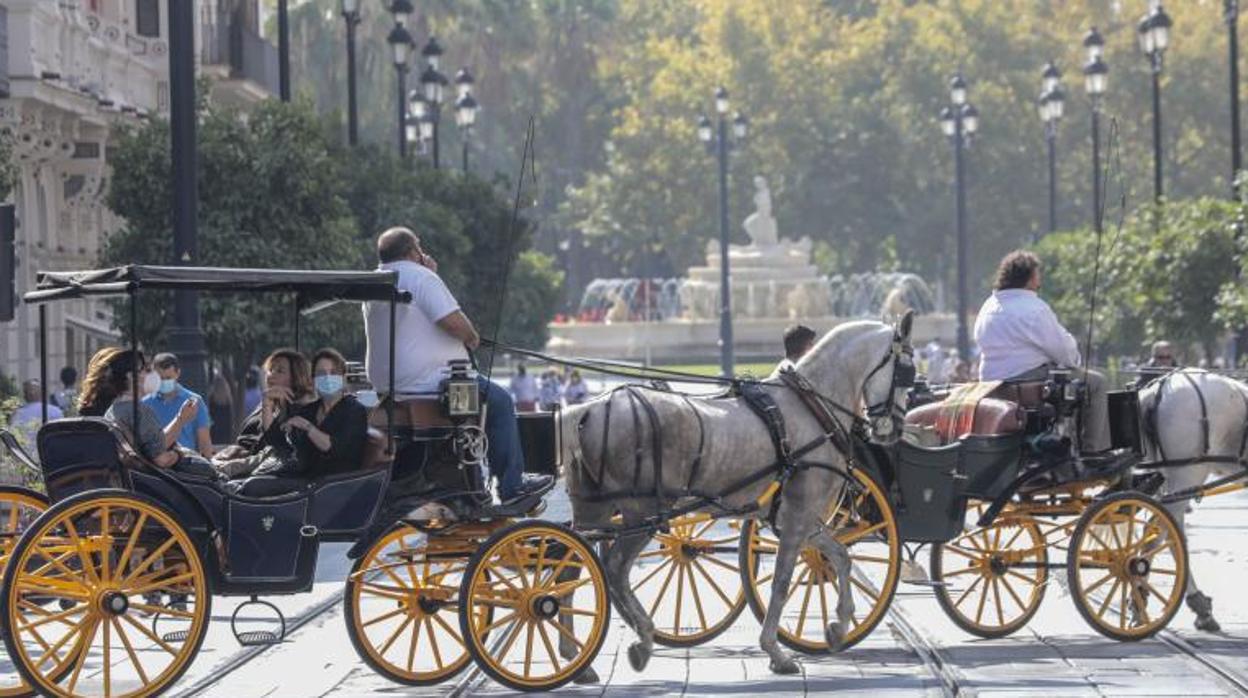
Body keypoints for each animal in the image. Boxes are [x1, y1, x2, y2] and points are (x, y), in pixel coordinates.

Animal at [561, 318, 913, 679]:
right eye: (906, 372)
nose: (895, 428)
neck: (811, 406)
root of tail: (589, 409)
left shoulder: (799, 518)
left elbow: (840, 556)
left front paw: (838, 626)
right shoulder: (798, 515)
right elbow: (783, 580)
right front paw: (776, 650)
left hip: (595, 510)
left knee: (570, 566)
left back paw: (575, 655)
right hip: (642, 512)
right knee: (615, 568)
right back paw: (642, 637)